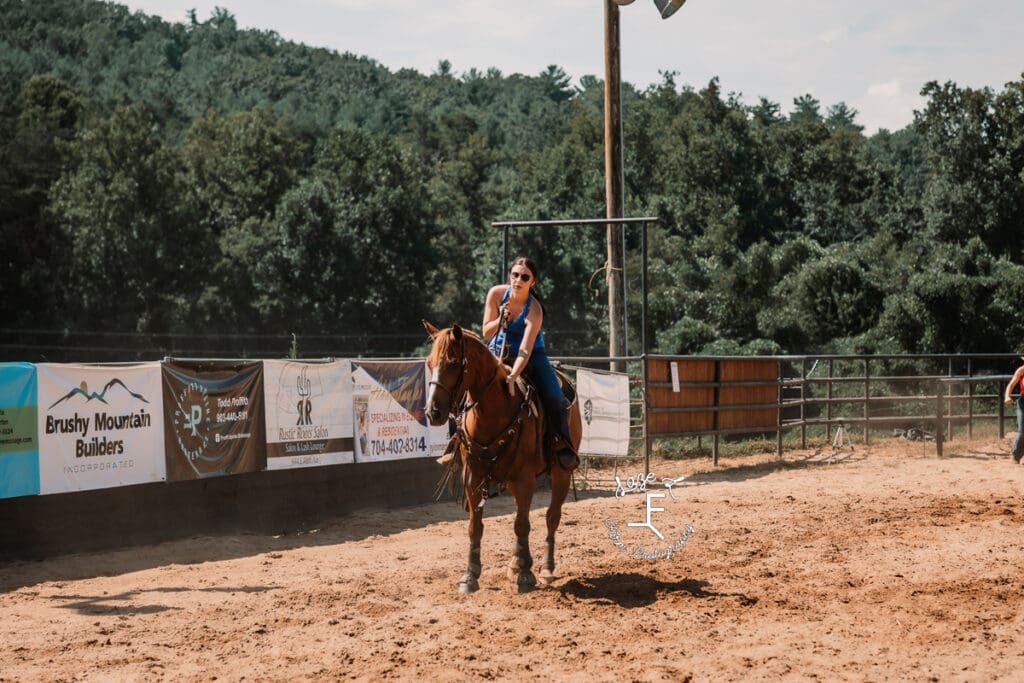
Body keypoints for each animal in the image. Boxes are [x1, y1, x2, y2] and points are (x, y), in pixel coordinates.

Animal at [423, 321, 581, 593]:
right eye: (429, 364)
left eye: (453, 364)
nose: (432, 412)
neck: (494, 410)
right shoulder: (473, 478)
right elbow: (475, 526)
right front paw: (470, 575)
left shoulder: (525, 479)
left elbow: (522, 524)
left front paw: (526, 574)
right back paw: (515, 563)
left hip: (561, 472)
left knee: (552, 516)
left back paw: (545, 568)